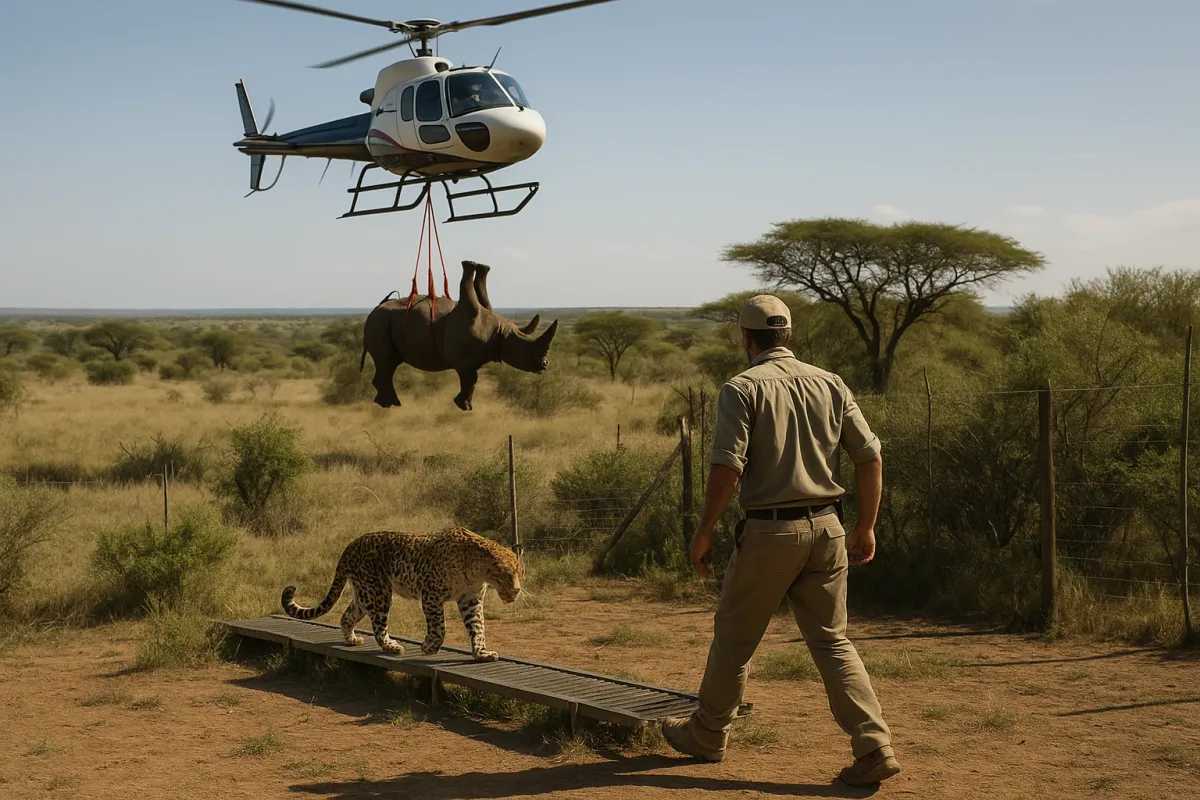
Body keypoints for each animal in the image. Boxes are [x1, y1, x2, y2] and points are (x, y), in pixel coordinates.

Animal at [359, 260, 558, 411]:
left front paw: (465, 406)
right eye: (525, 348)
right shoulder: (464, 361)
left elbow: (472, 381)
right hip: (379, 322)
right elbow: (471, 380)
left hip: (382, 323)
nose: (545, 365)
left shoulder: (471, 360)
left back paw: (386, 403)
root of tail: (375, 308)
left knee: (390, 363)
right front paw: (464, 407)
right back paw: (391, 404)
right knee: (386, 361)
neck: (500, 333)